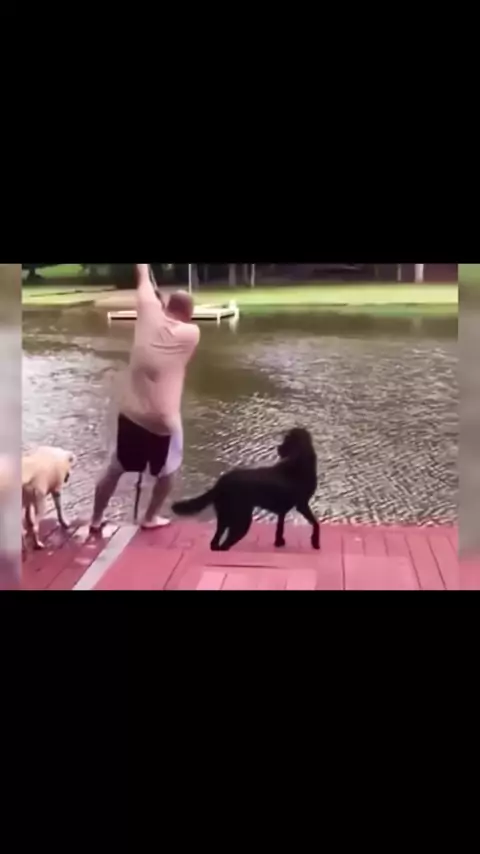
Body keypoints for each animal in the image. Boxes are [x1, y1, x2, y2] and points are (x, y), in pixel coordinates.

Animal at [172, 427, 320, 551]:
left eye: (287, 441)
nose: (278, 448)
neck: (299, 464)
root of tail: (220, 483)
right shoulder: (302, 504)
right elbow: (316, 523)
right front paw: (315, 542)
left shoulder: (283, 510)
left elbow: (280, 528)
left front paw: (279, 542)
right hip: (241, 520)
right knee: (225, 544)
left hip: (225, 518)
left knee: (215, 543)